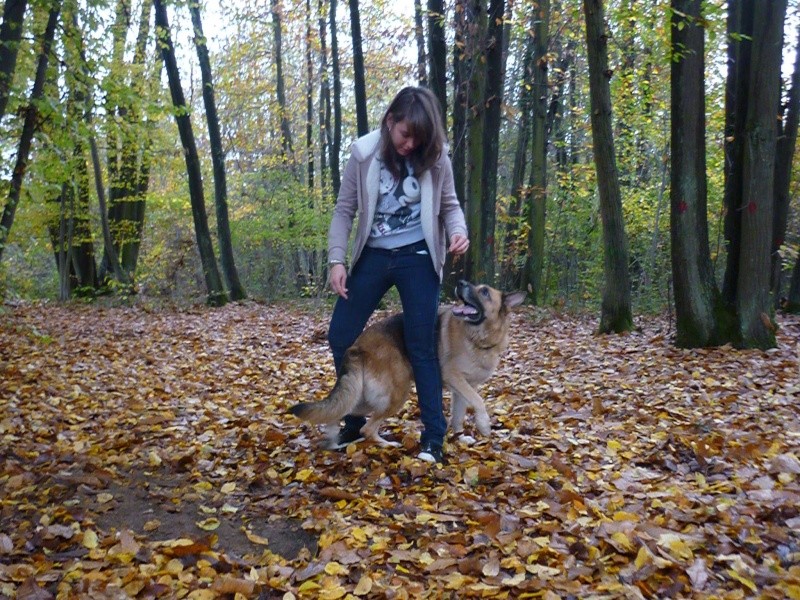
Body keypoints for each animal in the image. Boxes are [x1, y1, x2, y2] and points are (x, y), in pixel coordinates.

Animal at [288, 282, 524, 450]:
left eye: (484, 291)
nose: (460, 282)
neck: (478, 338)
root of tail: (357, 347)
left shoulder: (464, 388)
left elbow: (459, 414)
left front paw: (459, 436)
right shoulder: (454, 378)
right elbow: (479, 401)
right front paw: (484, 424)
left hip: (364, 397)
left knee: (341, 410)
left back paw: (334, 437)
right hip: (397, 394)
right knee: (366, 428)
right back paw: (387, 444)